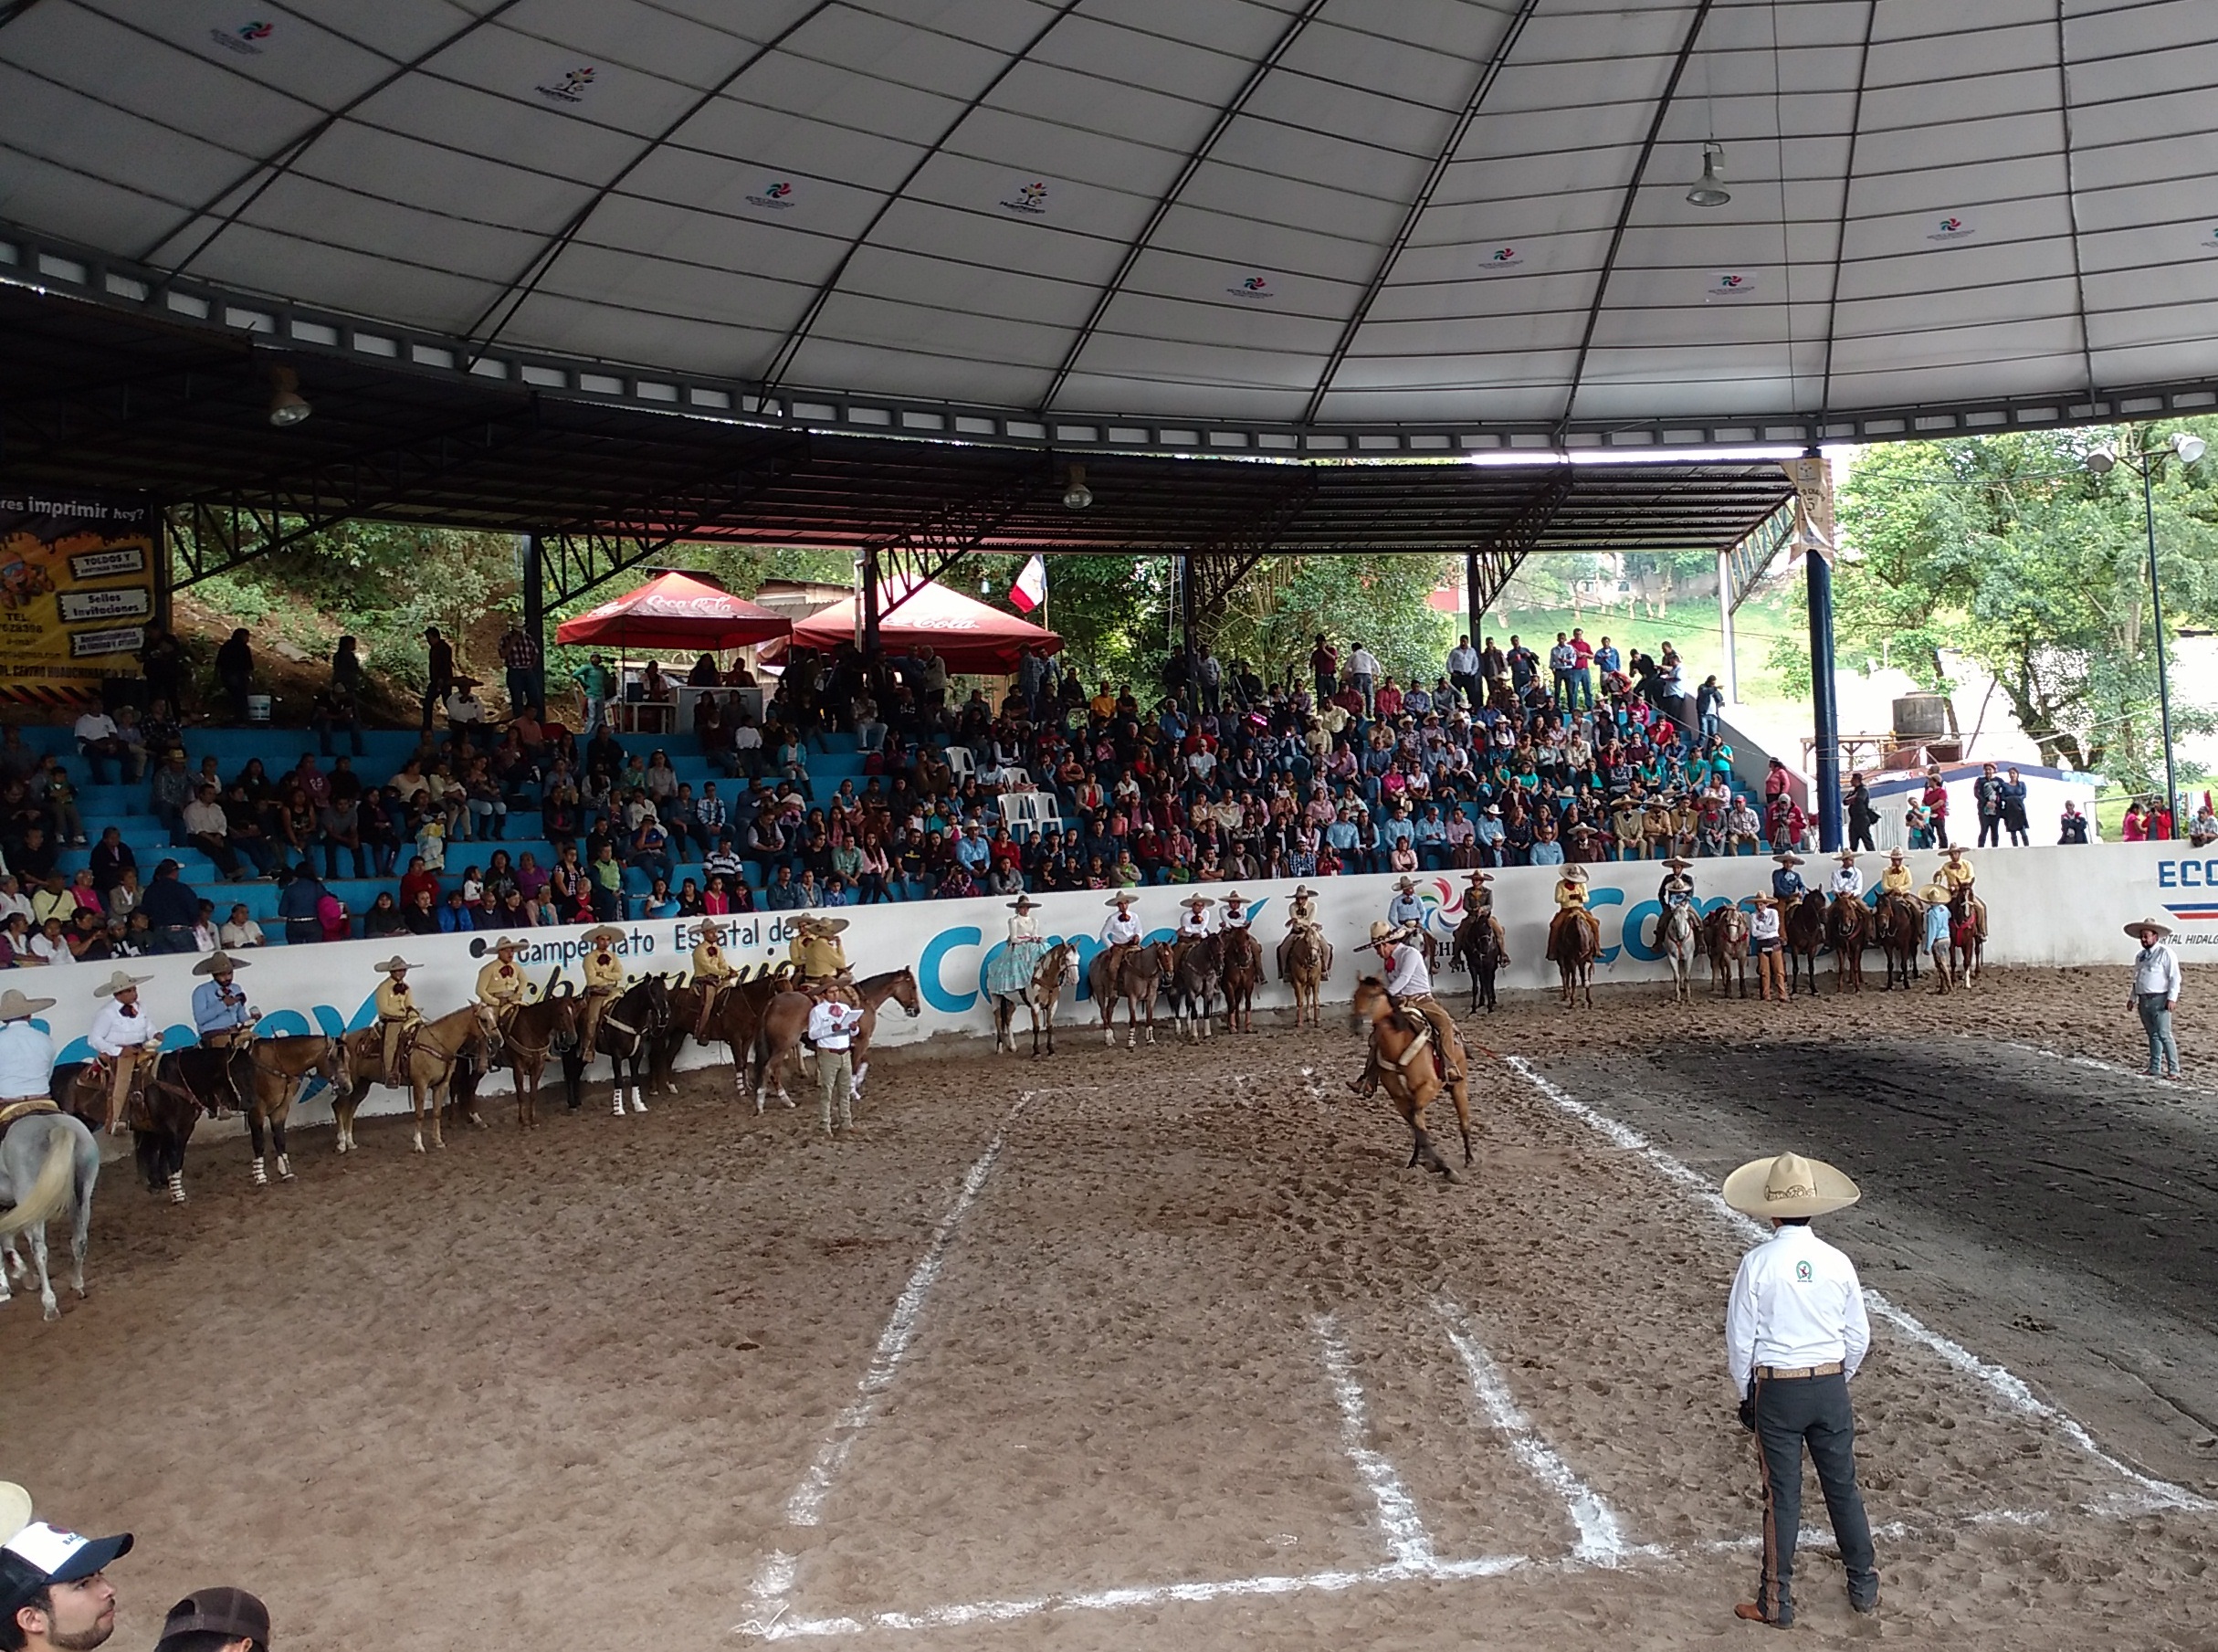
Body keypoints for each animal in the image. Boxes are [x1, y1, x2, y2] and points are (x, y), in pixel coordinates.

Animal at [0, 1109, 103, 1330]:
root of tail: (52, 1125)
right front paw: (23, 1275)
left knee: (40, 1251)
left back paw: (50, 1306)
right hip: (82, 1195)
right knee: (79, 1241)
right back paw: (77, 1286)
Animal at [332, 997, 499, 1152]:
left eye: (494, 1016)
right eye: (483, 1019)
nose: (499, 1039)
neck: (437, 1043)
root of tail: (345, 1041)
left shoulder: (441, 1085)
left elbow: (437, 1112)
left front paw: (438, 1141)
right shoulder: (420, 1084)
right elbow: (419, 1114)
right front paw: (419, 1144)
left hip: (362, 1084)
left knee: (351, 1108)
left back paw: (350, 1142)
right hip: (349, 1083)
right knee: (338, 1106)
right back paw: (341, 1144)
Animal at [745, 966, 918, 1109]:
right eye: (913, 987)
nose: (916, 1010)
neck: (865, 1000)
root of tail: (772, 1003)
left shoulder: (854, 1043)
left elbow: (864, 1062)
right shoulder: (863, 1041)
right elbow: (855, 1066)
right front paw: (853, 1092)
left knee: (772, 1070)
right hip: (783, 1046)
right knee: (770, 1069)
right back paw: (776, 1102)